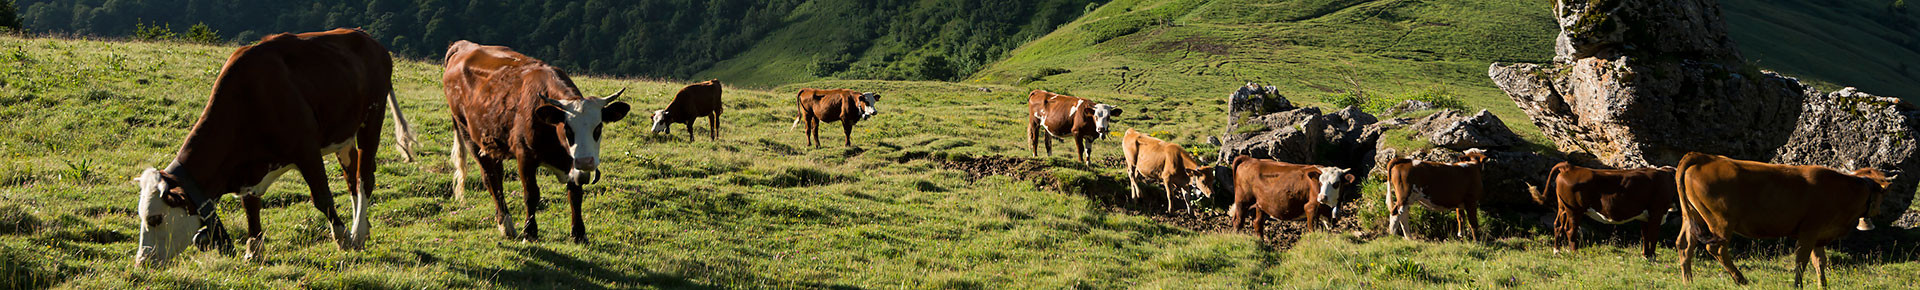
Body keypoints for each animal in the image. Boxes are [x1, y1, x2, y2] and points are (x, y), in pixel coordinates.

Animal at [131, 28, 416, 266]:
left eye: (155, 218)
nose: (142, 262)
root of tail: (369, 39)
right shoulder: (248, 169)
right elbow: (251, 205)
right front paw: (253, 250)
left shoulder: (306, 149)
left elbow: (322, 198)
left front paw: (342, 237)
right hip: (344, 134)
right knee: (351, 178)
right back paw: (363, 229)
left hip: (373, 117)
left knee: (364, 177)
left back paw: (357, 232)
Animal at [443, 40, 637, 244]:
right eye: (568, 128)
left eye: (598, 127)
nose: (586, 161)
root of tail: (463, 45)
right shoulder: (525, 156)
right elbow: (531, 194)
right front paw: (530, 232)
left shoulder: (572, 162)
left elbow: (575, 193)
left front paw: (578, 233)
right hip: (468, 133)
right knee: (491, 178)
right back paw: (506, 225)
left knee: (497, 173)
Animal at [1221, 153, 1359, 238]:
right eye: (1320, 182)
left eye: (1336, 183)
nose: (1321, 197)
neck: (1330, 207)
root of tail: (1250, 159)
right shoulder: (1311, 208)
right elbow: (1312, 229)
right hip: (1242, 201)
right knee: (1238, 221)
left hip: (1260, 204)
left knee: (1257, 223)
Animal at [1528, 162, 1681, 259]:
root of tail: (1570, 167)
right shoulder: (1656, 213)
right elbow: (1653, 236)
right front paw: (1652, 258)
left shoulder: (1645, 216)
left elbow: (1646, 236)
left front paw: (1646, 256)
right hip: (1574, 210)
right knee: (1570, 230)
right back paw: (1574, 253)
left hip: (1563, 207)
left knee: (1558, 225)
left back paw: (1557, 251)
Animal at [1681, 151, 1889, 288]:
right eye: (1883, 194)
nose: (1880, 212)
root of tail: (1705, 157)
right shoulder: (1809, 231)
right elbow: (1801, 261)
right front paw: (1798, 285)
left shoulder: (1820, 235)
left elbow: (1820, 262)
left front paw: (1823, 285)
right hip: (1721, 222)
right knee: (1716, 249)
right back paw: (1741, 279)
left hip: (1692, 217)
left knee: (1685, 245)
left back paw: (1688, 281)